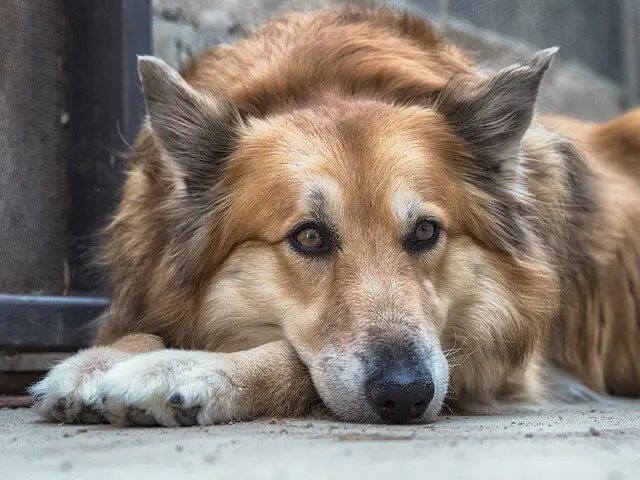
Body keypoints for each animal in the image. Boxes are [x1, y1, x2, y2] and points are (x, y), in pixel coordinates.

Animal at [31, 4, 640, 428]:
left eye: (425, 231)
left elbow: (296, 363)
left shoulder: (493, 358)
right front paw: (97, 361)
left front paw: (186, 369)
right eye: (309, 237)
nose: (406, 395)